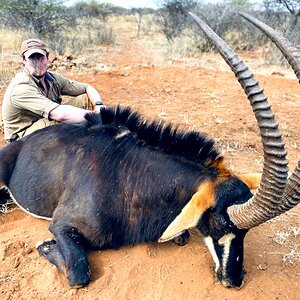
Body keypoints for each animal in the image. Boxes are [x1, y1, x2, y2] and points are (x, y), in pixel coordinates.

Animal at [0, 13, 298, 288]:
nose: (234, 280)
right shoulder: (62, 225)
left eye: (245, 234)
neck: (130, 176)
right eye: (221, 224)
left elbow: (181, 235)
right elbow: (79, 274)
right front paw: (44, 245)